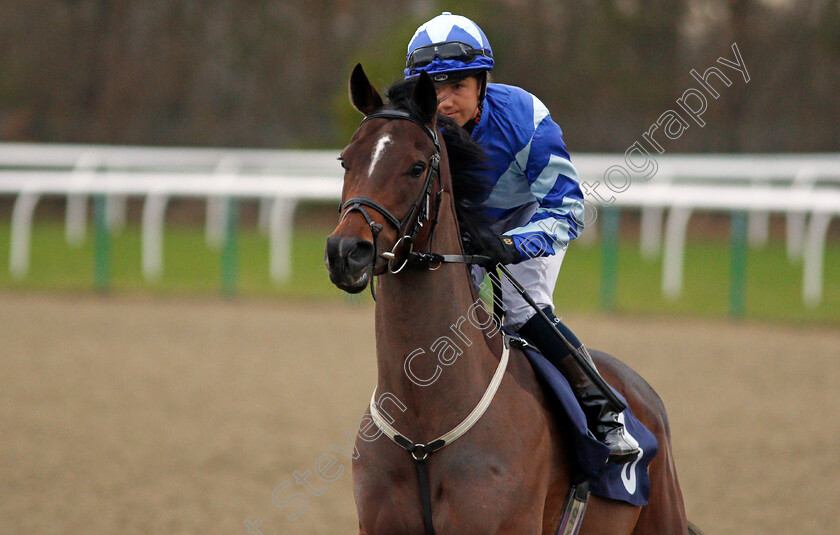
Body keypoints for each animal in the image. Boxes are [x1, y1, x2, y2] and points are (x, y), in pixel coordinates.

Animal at [324, 65, 700, 532]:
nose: (346, 252)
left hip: (663, 512)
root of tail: (643, 391)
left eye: (416, 166)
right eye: (346, 159)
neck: (423, 427)